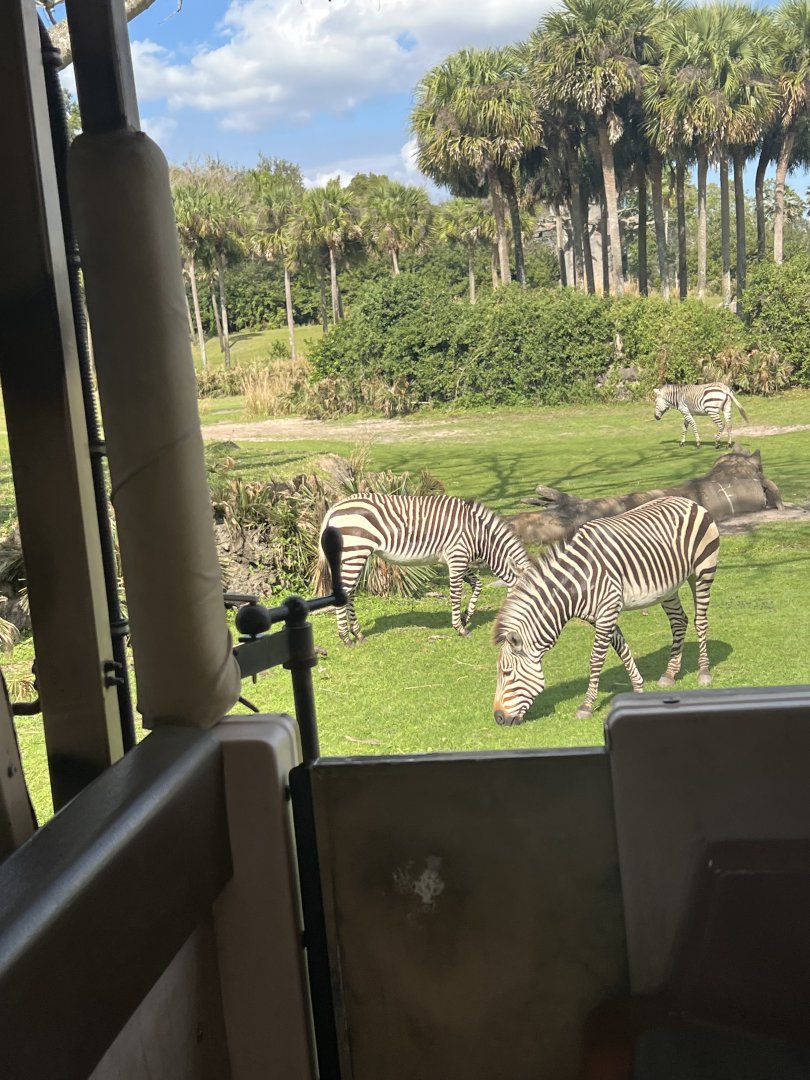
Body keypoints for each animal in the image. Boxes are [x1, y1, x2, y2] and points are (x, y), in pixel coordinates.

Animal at [316, 494, 532, 645]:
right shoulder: (457, 557)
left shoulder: (455, 560)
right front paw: (460, 628)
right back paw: (346, 638)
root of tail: (334, 508)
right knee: (345, 593)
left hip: (353, 556)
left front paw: (466, 616)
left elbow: (477, 584)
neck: (480, 535)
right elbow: (456, 594)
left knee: (350, 593)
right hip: (355, 552)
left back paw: (358, 633)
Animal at [492, 496, 720, 725]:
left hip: (703, 571)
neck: (576, 583)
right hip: (667, 587)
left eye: (507, 673)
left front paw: (586, 706)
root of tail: (688, 501)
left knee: (700, 621)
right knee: (679, 621)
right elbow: (621, 647)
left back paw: (704, 672)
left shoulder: (607, 610)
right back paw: (670, 673)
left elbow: (596, 659)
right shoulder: (599, 616)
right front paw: (638, 686)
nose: (498, 718)